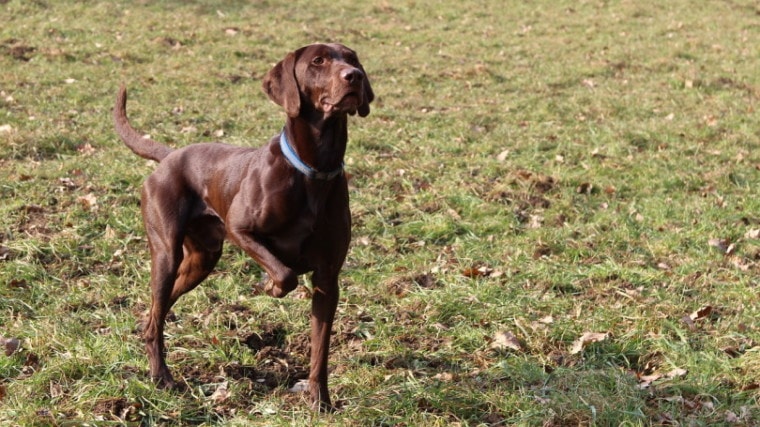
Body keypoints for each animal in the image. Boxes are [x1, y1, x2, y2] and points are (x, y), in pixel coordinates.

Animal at [113, 43, 374, 412]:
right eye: (318, 61)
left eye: (351, 58)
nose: (355, 76)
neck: (313, 170)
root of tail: (171, 156)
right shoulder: (240, 229)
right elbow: (285, 274)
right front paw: (271, 287)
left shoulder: (327, 279)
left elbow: (320, 350)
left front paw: (320, 402)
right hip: (166, 253)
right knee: (157, 314)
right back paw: (162, 377)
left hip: (201, 260)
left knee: (156, 313)